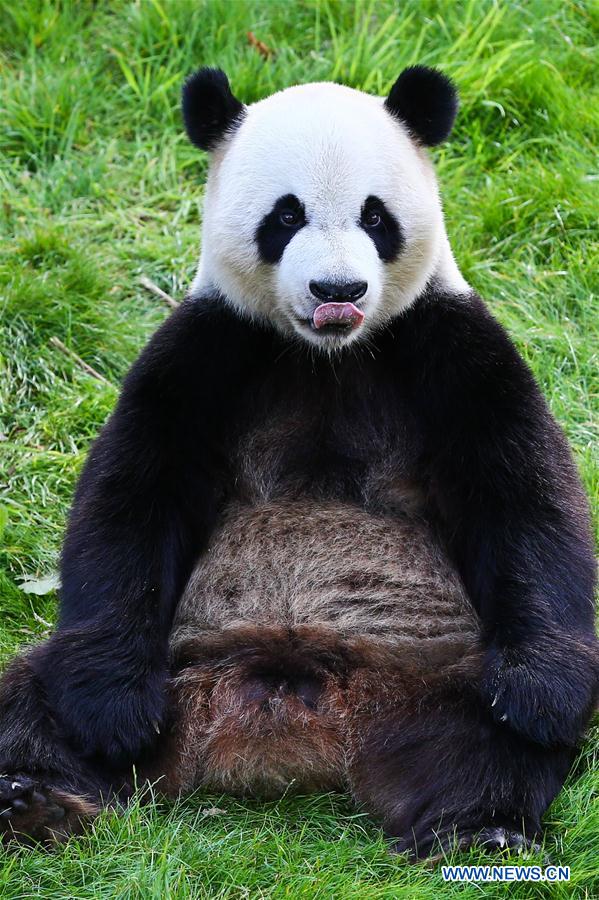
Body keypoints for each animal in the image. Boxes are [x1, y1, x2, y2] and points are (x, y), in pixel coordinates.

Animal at [0, 65, 596, 856]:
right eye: (285, 217)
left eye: (375, 217)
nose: (337, 291)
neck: (326, 356)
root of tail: (289, 728)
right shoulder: (210, 349)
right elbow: (131, 498)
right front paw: (112, 713)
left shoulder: (444, 345)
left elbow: (521, 493)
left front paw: (541, 694)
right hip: (168, 660)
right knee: (30, 697)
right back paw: (36, 798)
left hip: (439, 667)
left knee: (485, 741)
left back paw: (482, 826)